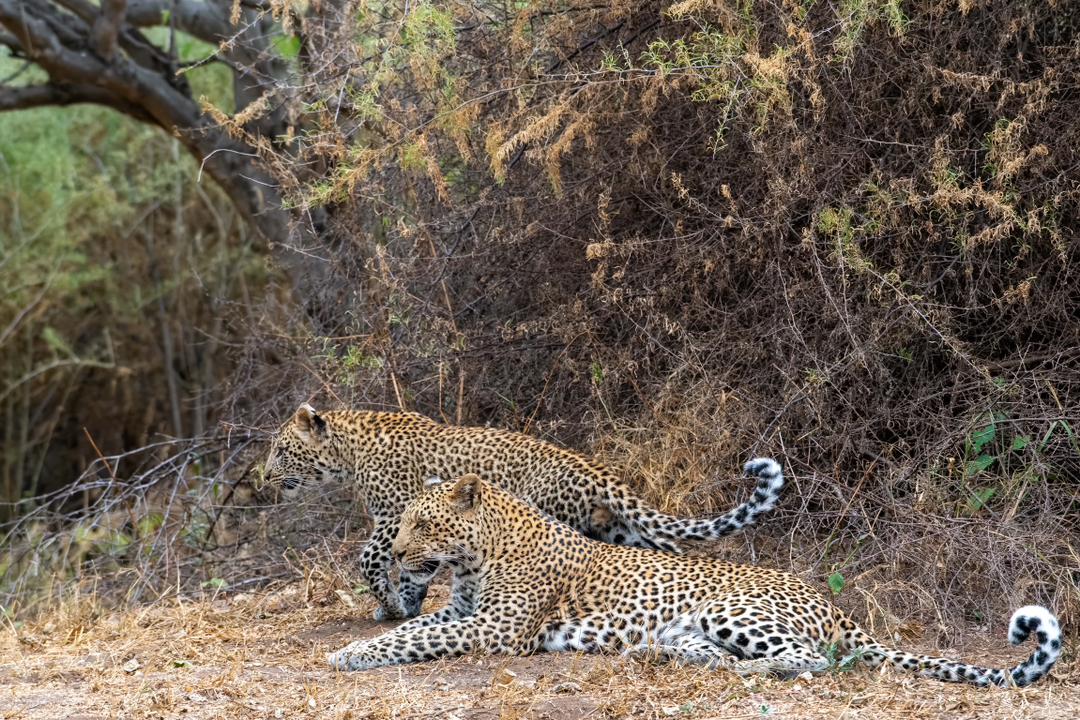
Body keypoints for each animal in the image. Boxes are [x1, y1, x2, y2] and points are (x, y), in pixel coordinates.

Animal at [262, 405, 786, 621]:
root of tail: (594, 469)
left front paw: (391, 604)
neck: (349, 449)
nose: (263, 478)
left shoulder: (393, 516)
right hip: (626, 533)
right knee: (667, 553)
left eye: (282, 450)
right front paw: (402, 606)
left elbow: (375, 559)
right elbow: (412, 572)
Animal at [321, 470, 1062, 690]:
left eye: (423, 524)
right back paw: (668, 657)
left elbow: (410, 639)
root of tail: (831, 604)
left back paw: (755, 671)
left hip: (732, 610)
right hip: (692, 625)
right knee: (710, 652)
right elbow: (418, 626)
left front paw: (348, 654)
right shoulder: (464, 613)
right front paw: (356, 646)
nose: (397, 556)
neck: (477, 556)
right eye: (404, 523)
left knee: (812, 661)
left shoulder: (497, 628)